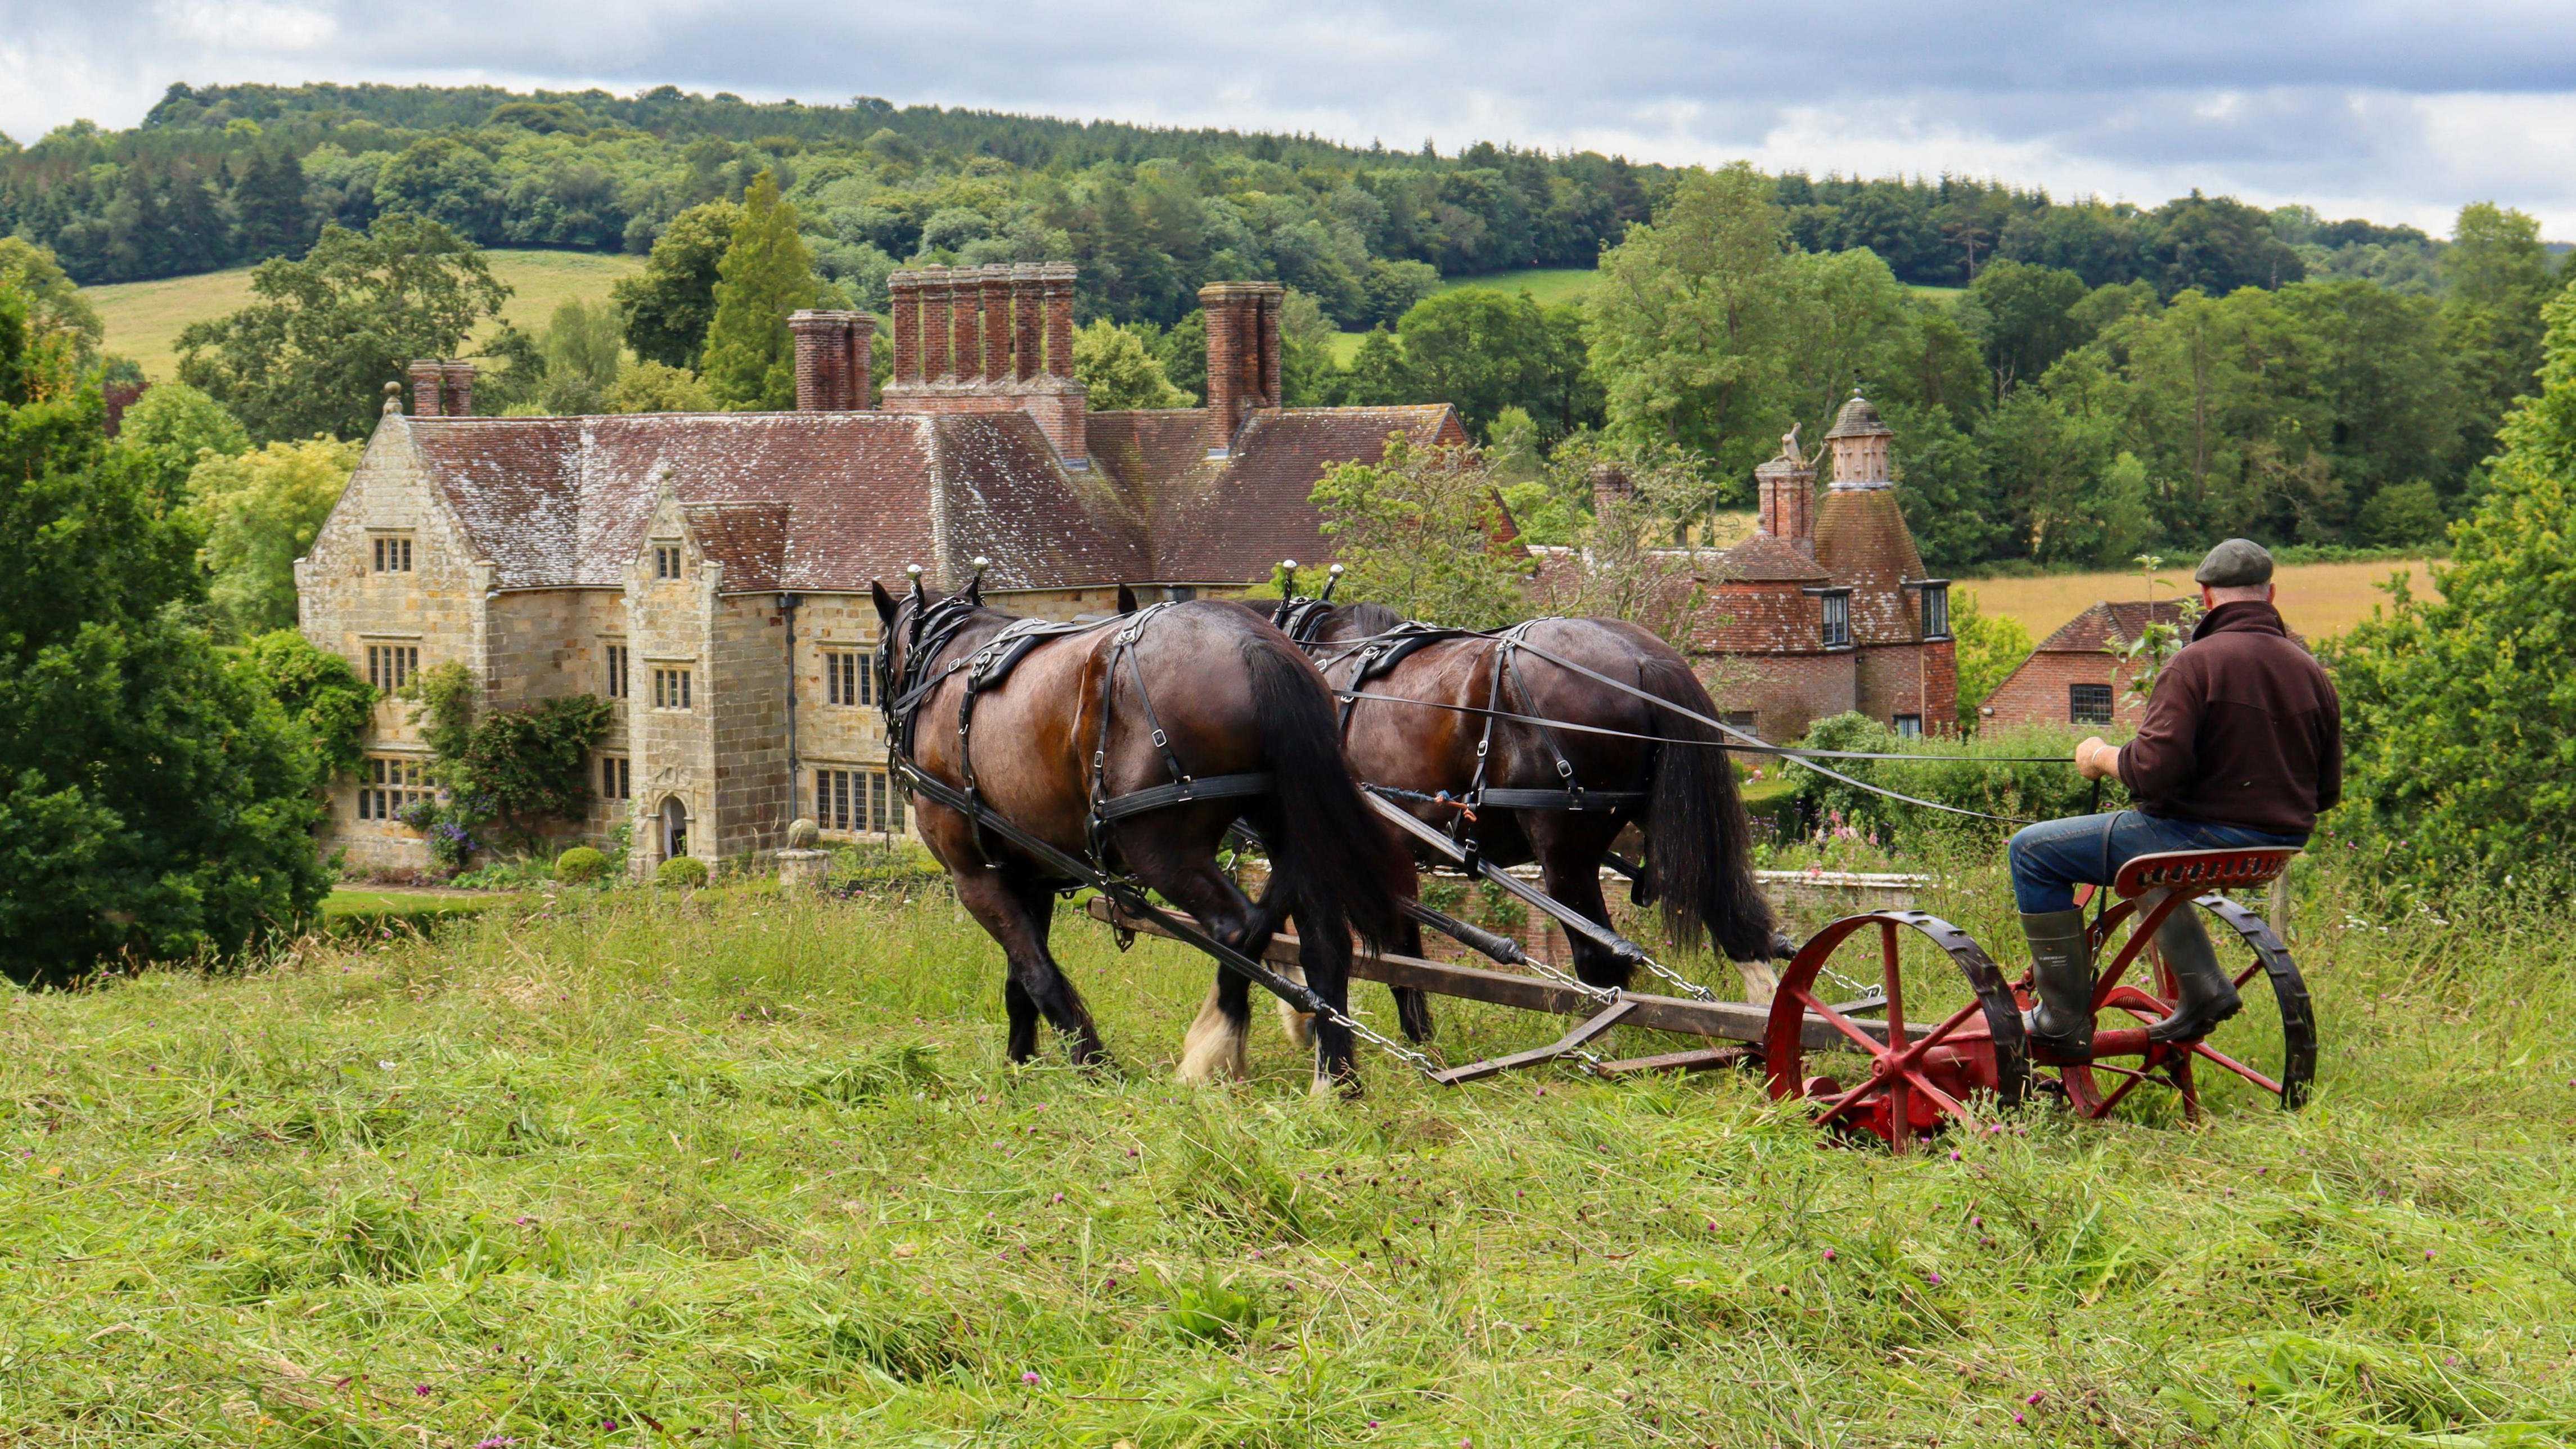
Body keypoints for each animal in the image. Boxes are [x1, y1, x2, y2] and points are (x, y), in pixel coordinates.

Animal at [876, 580, 1422, 1088]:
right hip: (1289, 824)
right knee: (1323, 943)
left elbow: (1037, 973)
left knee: (1238, 930)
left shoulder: (974, 877)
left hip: (1159, 850)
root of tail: (1253, 644)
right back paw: (1335, 1080)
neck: (951, 661)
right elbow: (1020, 982)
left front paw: (1092, 1065)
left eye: (879, 657)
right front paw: (1020, 1063)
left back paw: (1212, 1050)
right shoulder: (1029, 876)